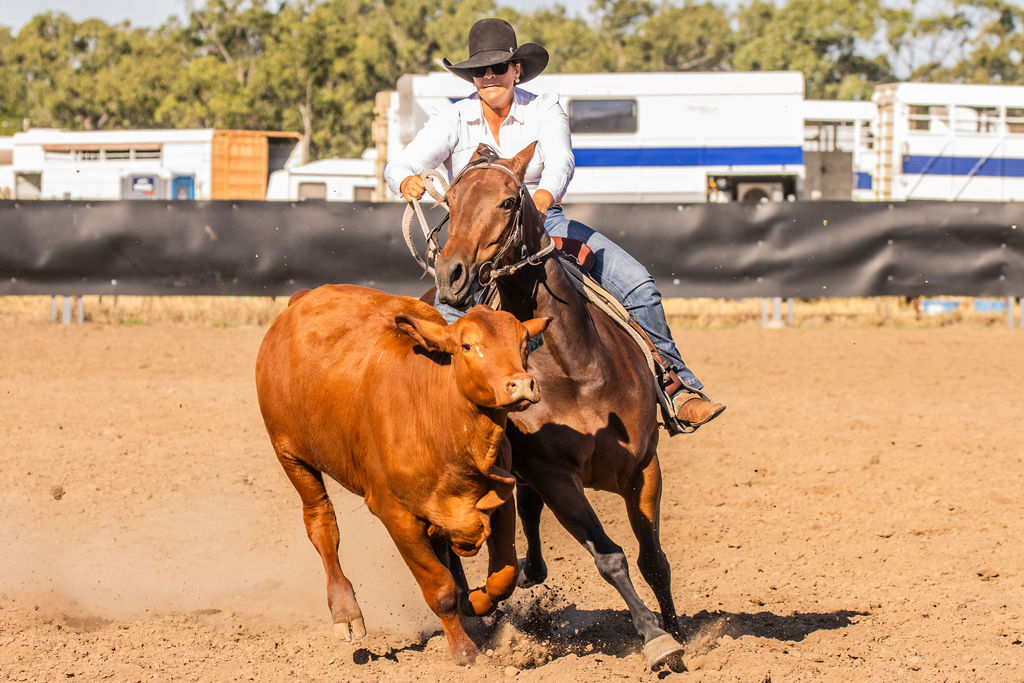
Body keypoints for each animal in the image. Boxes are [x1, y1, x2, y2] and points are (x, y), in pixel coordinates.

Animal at [255, 284, 548, 664]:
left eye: (524, 343)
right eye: (467, 346)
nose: (521, 385)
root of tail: (301, 299)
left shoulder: (499, 499)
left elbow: (504, 574)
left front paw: (475, 603)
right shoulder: (396, 516)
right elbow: (439, 589)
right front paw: (464, 650)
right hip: (290, 454)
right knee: (321, 523)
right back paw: (345, 611)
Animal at [427, 142, 685, 669]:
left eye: (508, 201)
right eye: (450, 200)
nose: (452, 275)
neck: (578, 368)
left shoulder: (644, 467)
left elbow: (653, 559)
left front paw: (675, 631)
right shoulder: (556, 477)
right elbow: (610, 557)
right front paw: (654, 638)